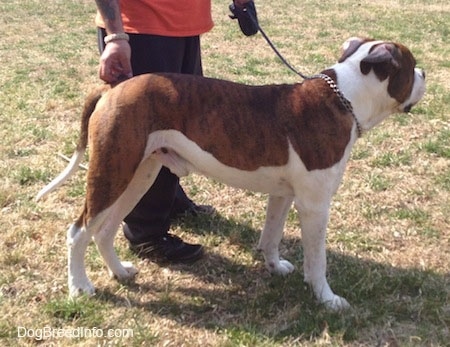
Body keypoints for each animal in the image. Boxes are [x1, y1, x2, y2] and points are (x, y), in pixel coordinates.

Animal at [37, 38, 426, 312]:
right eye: (412, 65)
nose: (425, 76)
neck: (344, 97)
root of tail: (113, 88)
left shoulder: (283, 194)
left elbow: (271, 235)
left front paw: (274, 266)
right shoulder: (315, 205)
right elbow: (318, 260)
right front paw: (327, 299)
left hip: (137, 175)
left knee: (104, 230)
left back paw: (119, 272)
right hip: (111, 174)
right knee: (78, 231)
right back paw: (80, 287)